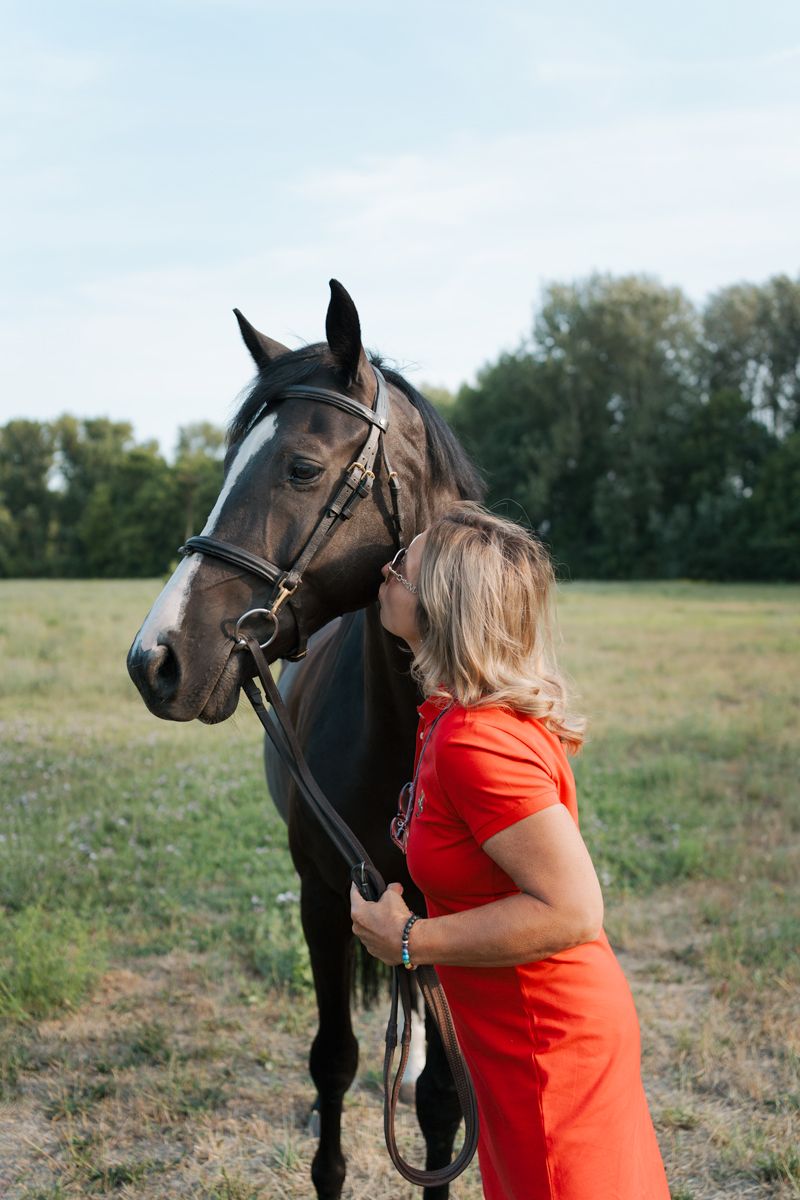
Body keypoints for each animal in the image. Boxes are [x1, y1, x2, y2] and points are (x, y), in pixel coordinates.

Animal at [127, 280, 485, 1199]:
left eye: (302, 468)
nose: (154, 659)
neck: (403, 735)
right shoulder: (325, 896)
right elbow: (333, 1060)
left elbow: (444, 1104)